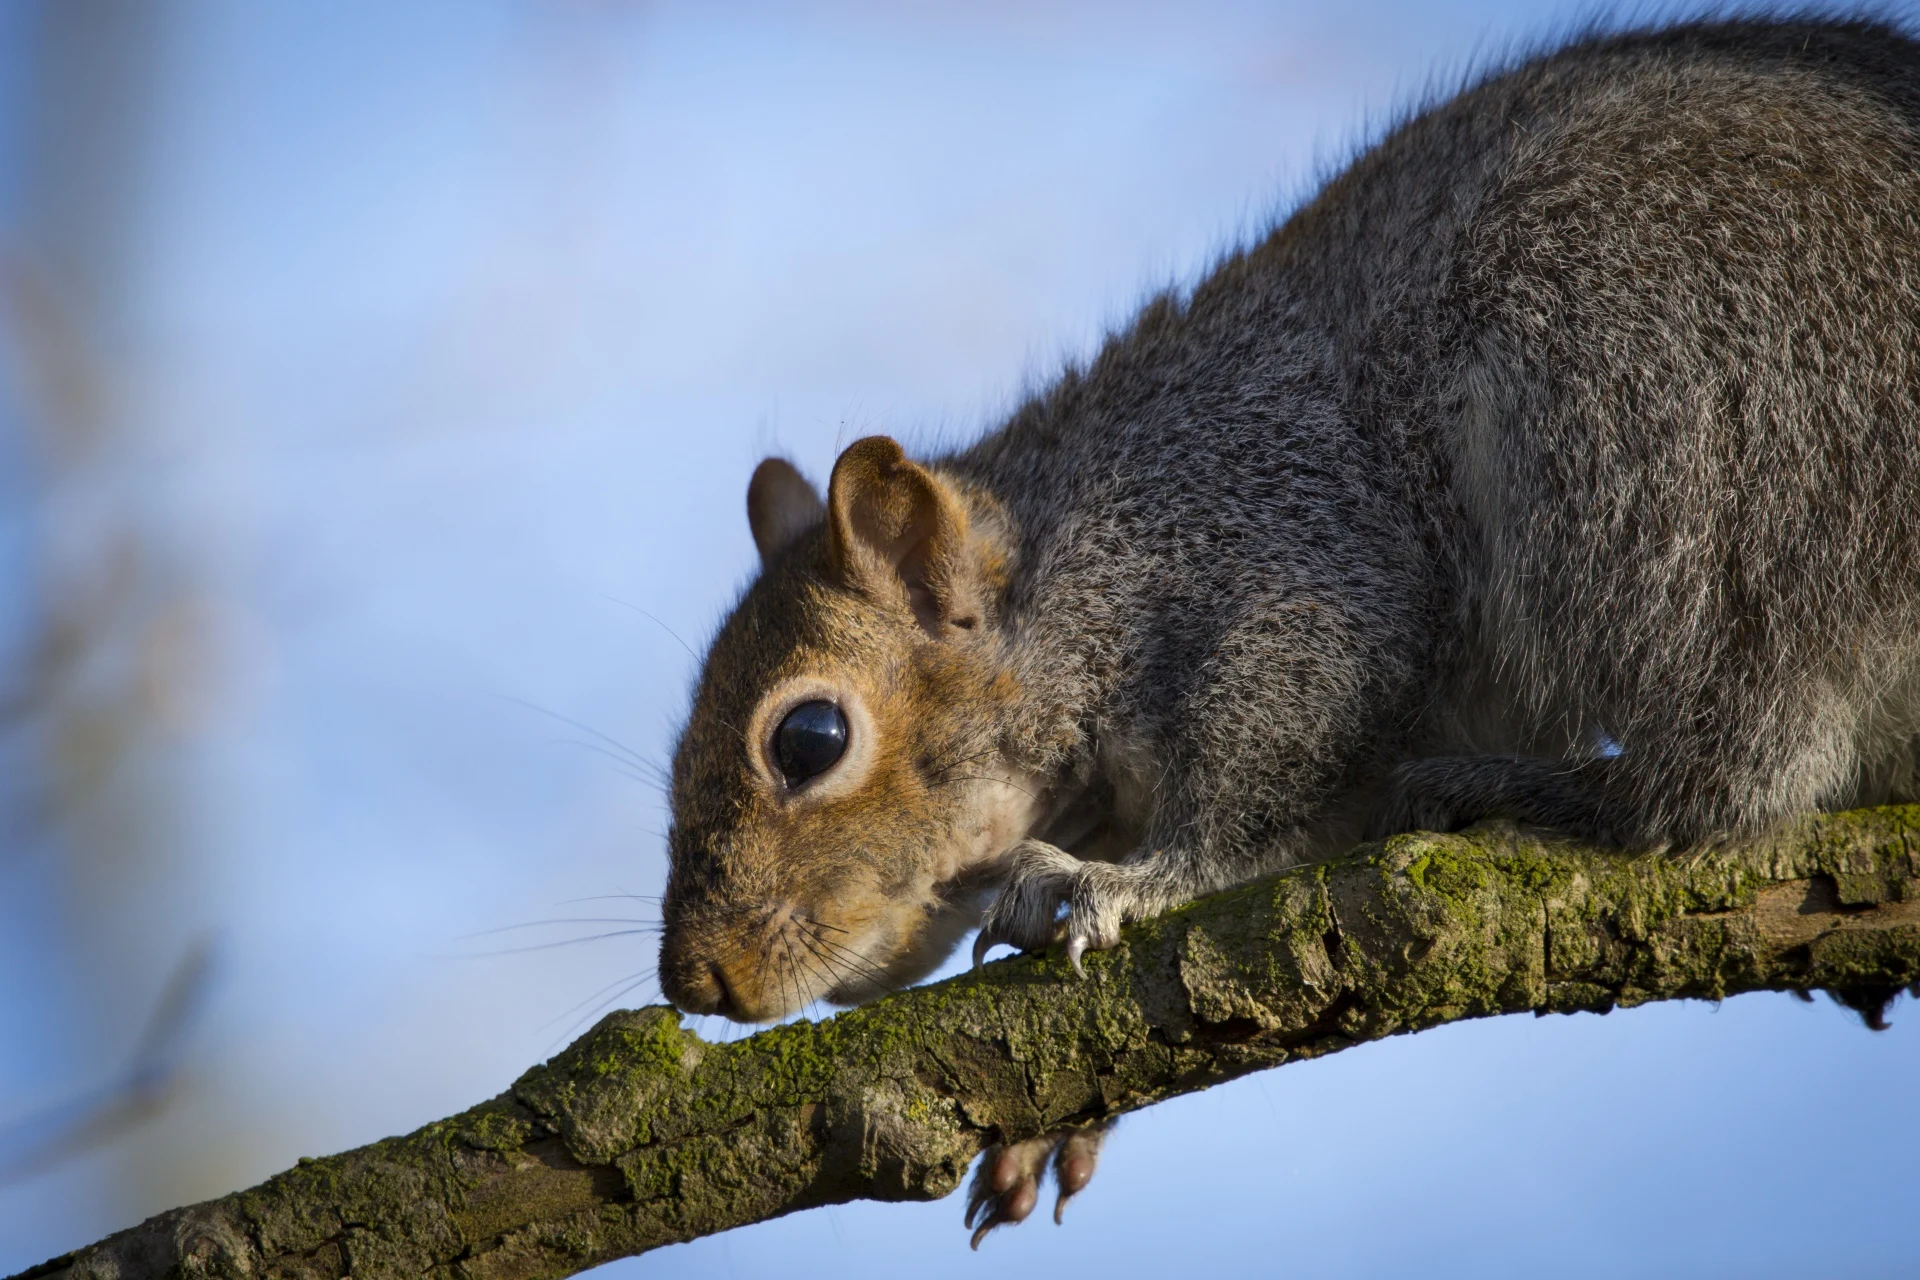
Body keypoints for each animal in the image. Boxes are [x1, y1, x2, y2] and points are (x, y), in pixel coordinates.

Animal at [656, 14, 1920, 1243]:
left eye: (809, 738)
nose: (693, 980)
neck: (1076, 570)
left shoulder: (1290, 554)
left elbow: (1272, 765)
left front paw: (1122, 882)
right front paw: (1056, 1123)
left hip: (1680, 423)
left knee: (1735, 758)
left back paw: (1538, 787)